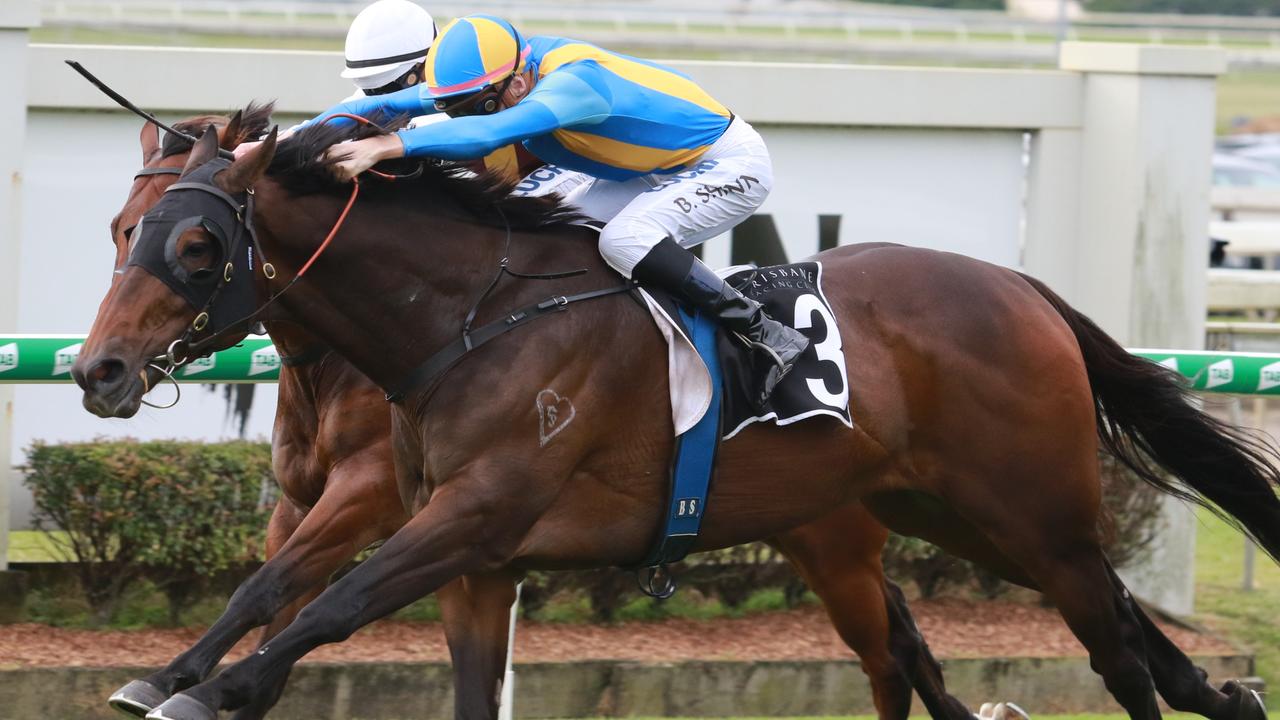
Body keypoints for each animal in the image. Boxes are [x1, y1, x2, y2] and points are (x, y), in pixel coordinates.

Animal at [74, 122, 1274, 717]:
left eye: (195, 246)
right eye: (122, 230)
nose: (98, 369)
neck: (467, 319)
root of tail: (1023, 288)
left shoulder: (466, 516)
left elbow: (328, 604)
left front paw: (206, 692)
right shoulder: (473, 564)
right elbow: (282, 588)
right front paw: (169, 676)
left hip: (1031, 518)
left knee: (1113, 657)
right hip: (951, 517)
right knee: (1053, 633)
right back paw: (1221, 693)